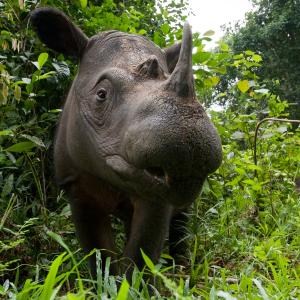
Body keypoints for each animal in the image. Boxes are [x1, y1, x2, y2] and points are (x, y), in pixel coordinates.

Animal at [30, 7, 223, 276]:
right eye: (101, 95)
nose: (190, 151)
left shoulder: (157, 194)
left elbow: (142, 252)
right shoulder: (75, 184)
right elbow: (98, 252)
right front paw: (106, 281)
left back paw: (180, 270)